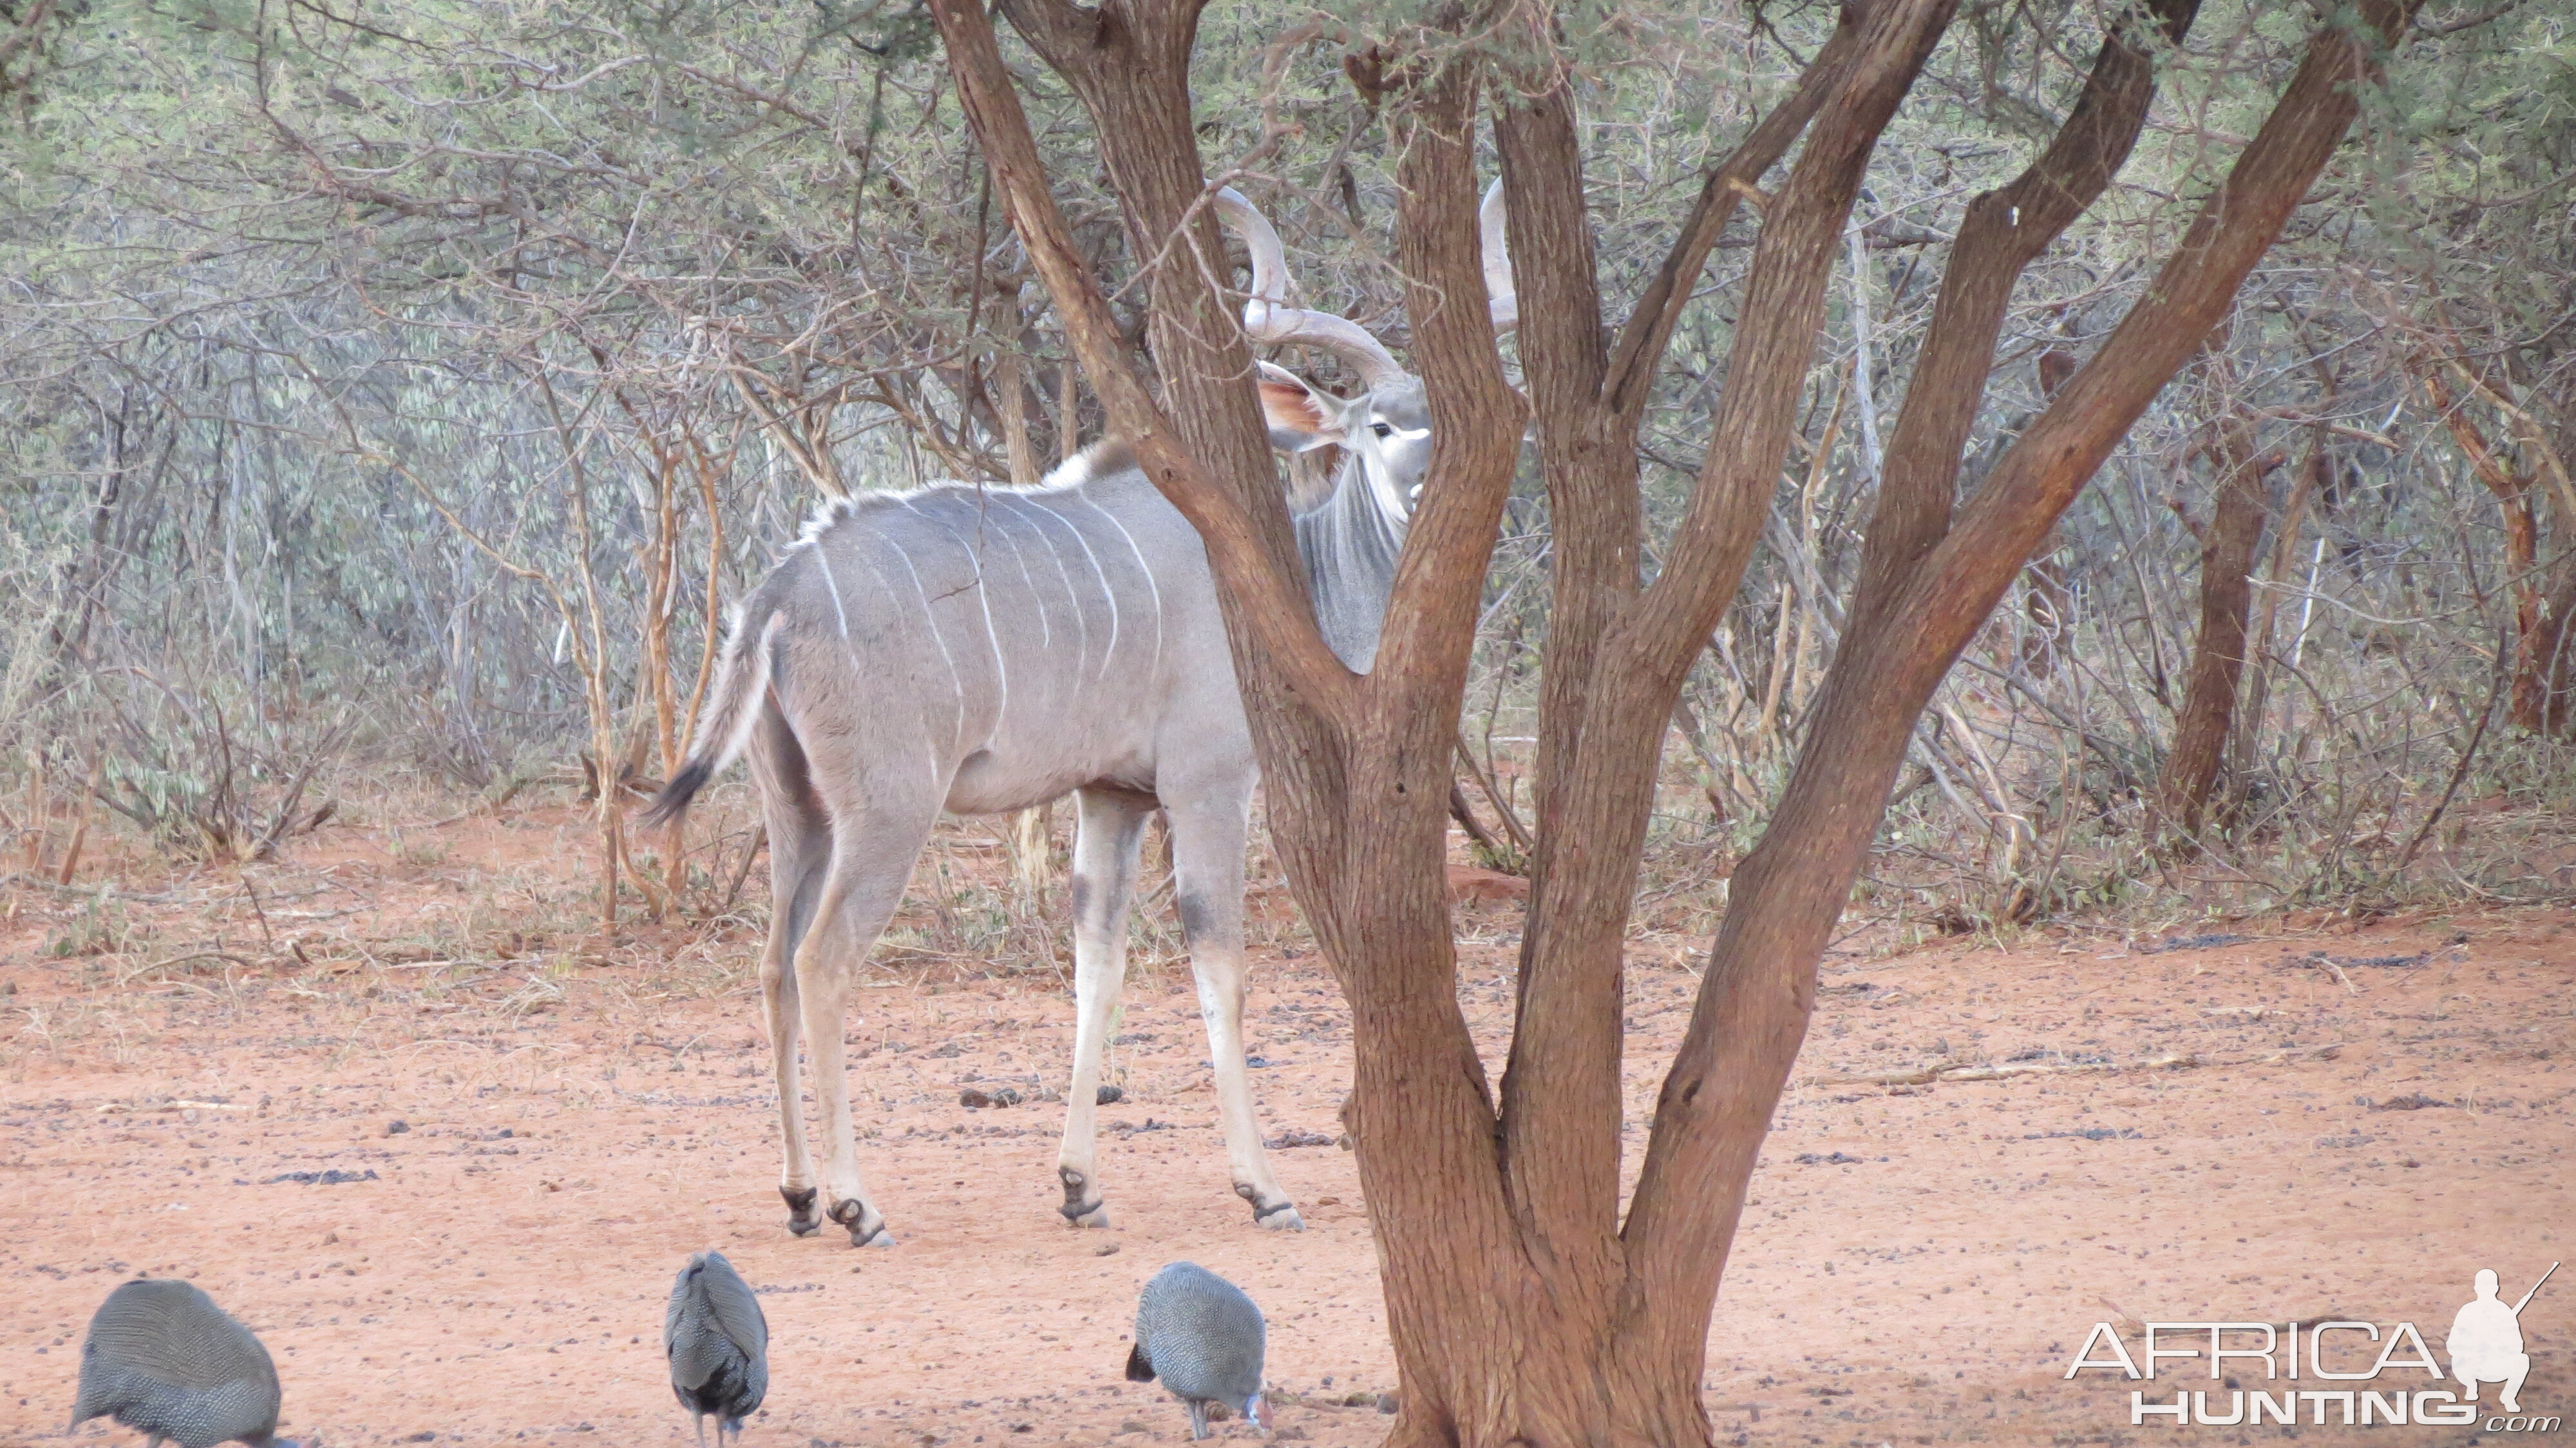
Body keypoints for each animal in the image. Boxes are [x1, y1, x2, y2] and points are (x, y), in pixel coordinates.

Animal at [644, 180, 1515, 1242]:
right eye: (1380, 427)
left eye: (1449, 420)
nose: (1431, 486)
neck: (1292, 577)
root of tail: (782, 584)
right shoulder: (1206, 783)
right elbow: (1219, 963)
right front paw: (1262, 1188)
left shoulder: (1113, 796)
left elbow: (1097, 964)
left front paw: (1077, 1184)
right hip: (887, 808)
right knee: (821, 960)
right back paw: (859, 1203)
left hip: (796, 808)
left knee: (772, 963)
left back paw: (803, 1195)